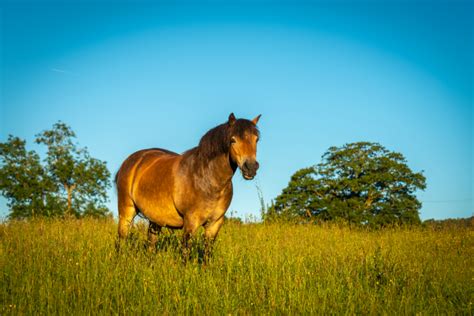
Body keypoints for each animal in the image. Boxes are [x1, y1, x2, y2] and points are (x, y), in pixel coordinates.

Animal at [116, 113, 262, 262]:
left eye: (256, 139)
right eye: (233, 140)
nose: (251, 167)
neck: (208, 179)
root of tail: (132, 160)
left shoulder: (215, 224)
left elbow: (207, 254)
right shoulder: (191, 222)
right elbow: (185, 253)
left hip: (155, 220)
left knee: (151, 244)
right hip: (126, 211)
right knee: (121, 240)